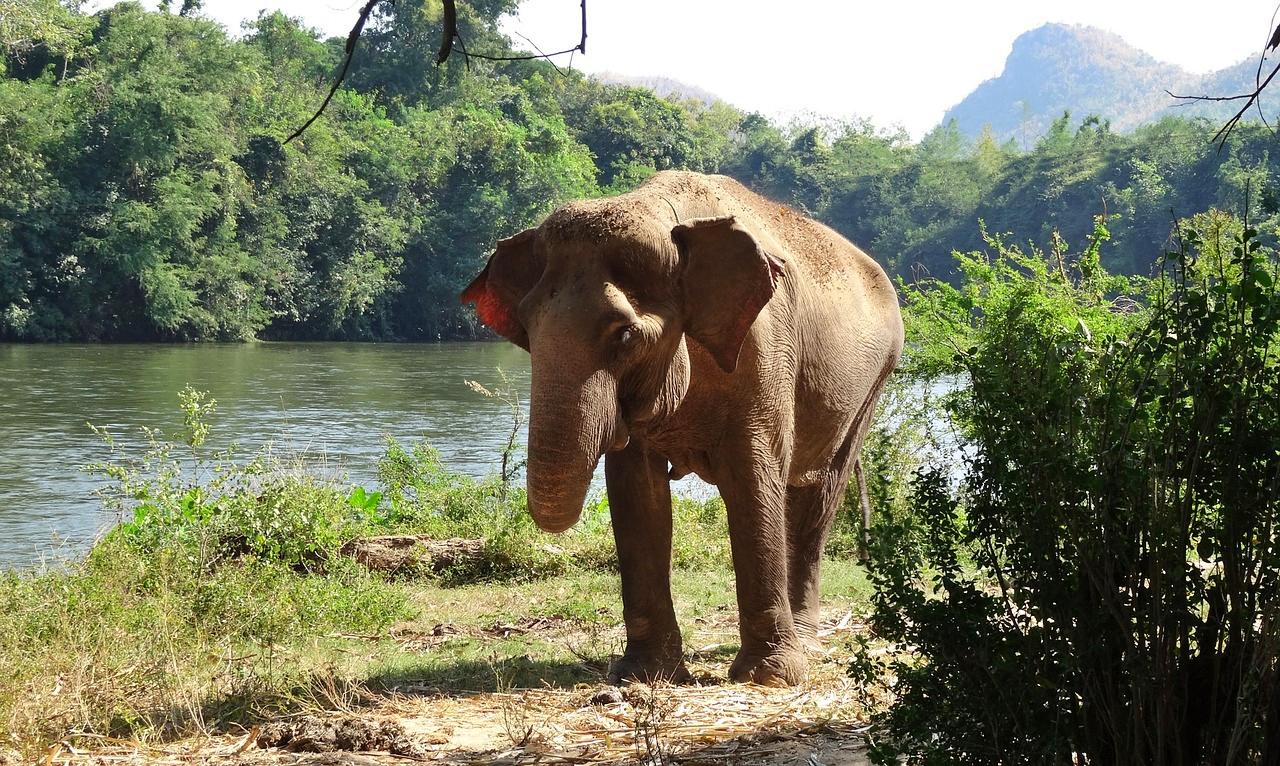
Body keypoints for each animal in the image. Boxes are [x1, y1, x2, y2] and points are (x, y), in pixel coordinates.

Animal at [460, 171, 901, 686]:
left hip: (872, 382)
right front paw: (643, 674)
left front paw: (769, 678)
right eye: (527, 330)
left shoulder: (766, 351)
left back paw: (807, 642)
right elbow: (637, 492)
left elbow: (754, 478)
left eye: (625, 335)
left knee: (819, 496)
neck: (659, 213)